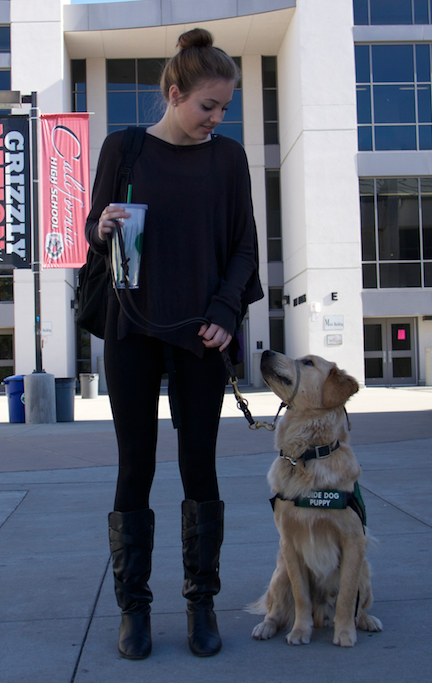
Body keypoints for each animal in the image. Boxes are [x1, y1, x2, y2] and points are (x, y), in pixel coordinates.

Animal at [251, 352, 384, 648]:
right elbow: (301, 595)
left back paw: (366, 621)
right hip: (279, 573)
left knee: (360, 605)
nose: (265, 352)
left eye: (309, 363)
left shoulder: (353, 541)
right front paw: (300, 630)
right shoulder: (288, 543)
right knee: (275, 609)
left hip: (366, 570)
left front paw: (344, 633)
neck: (306, 455)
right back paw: (266, 627)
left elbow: (347, 595)